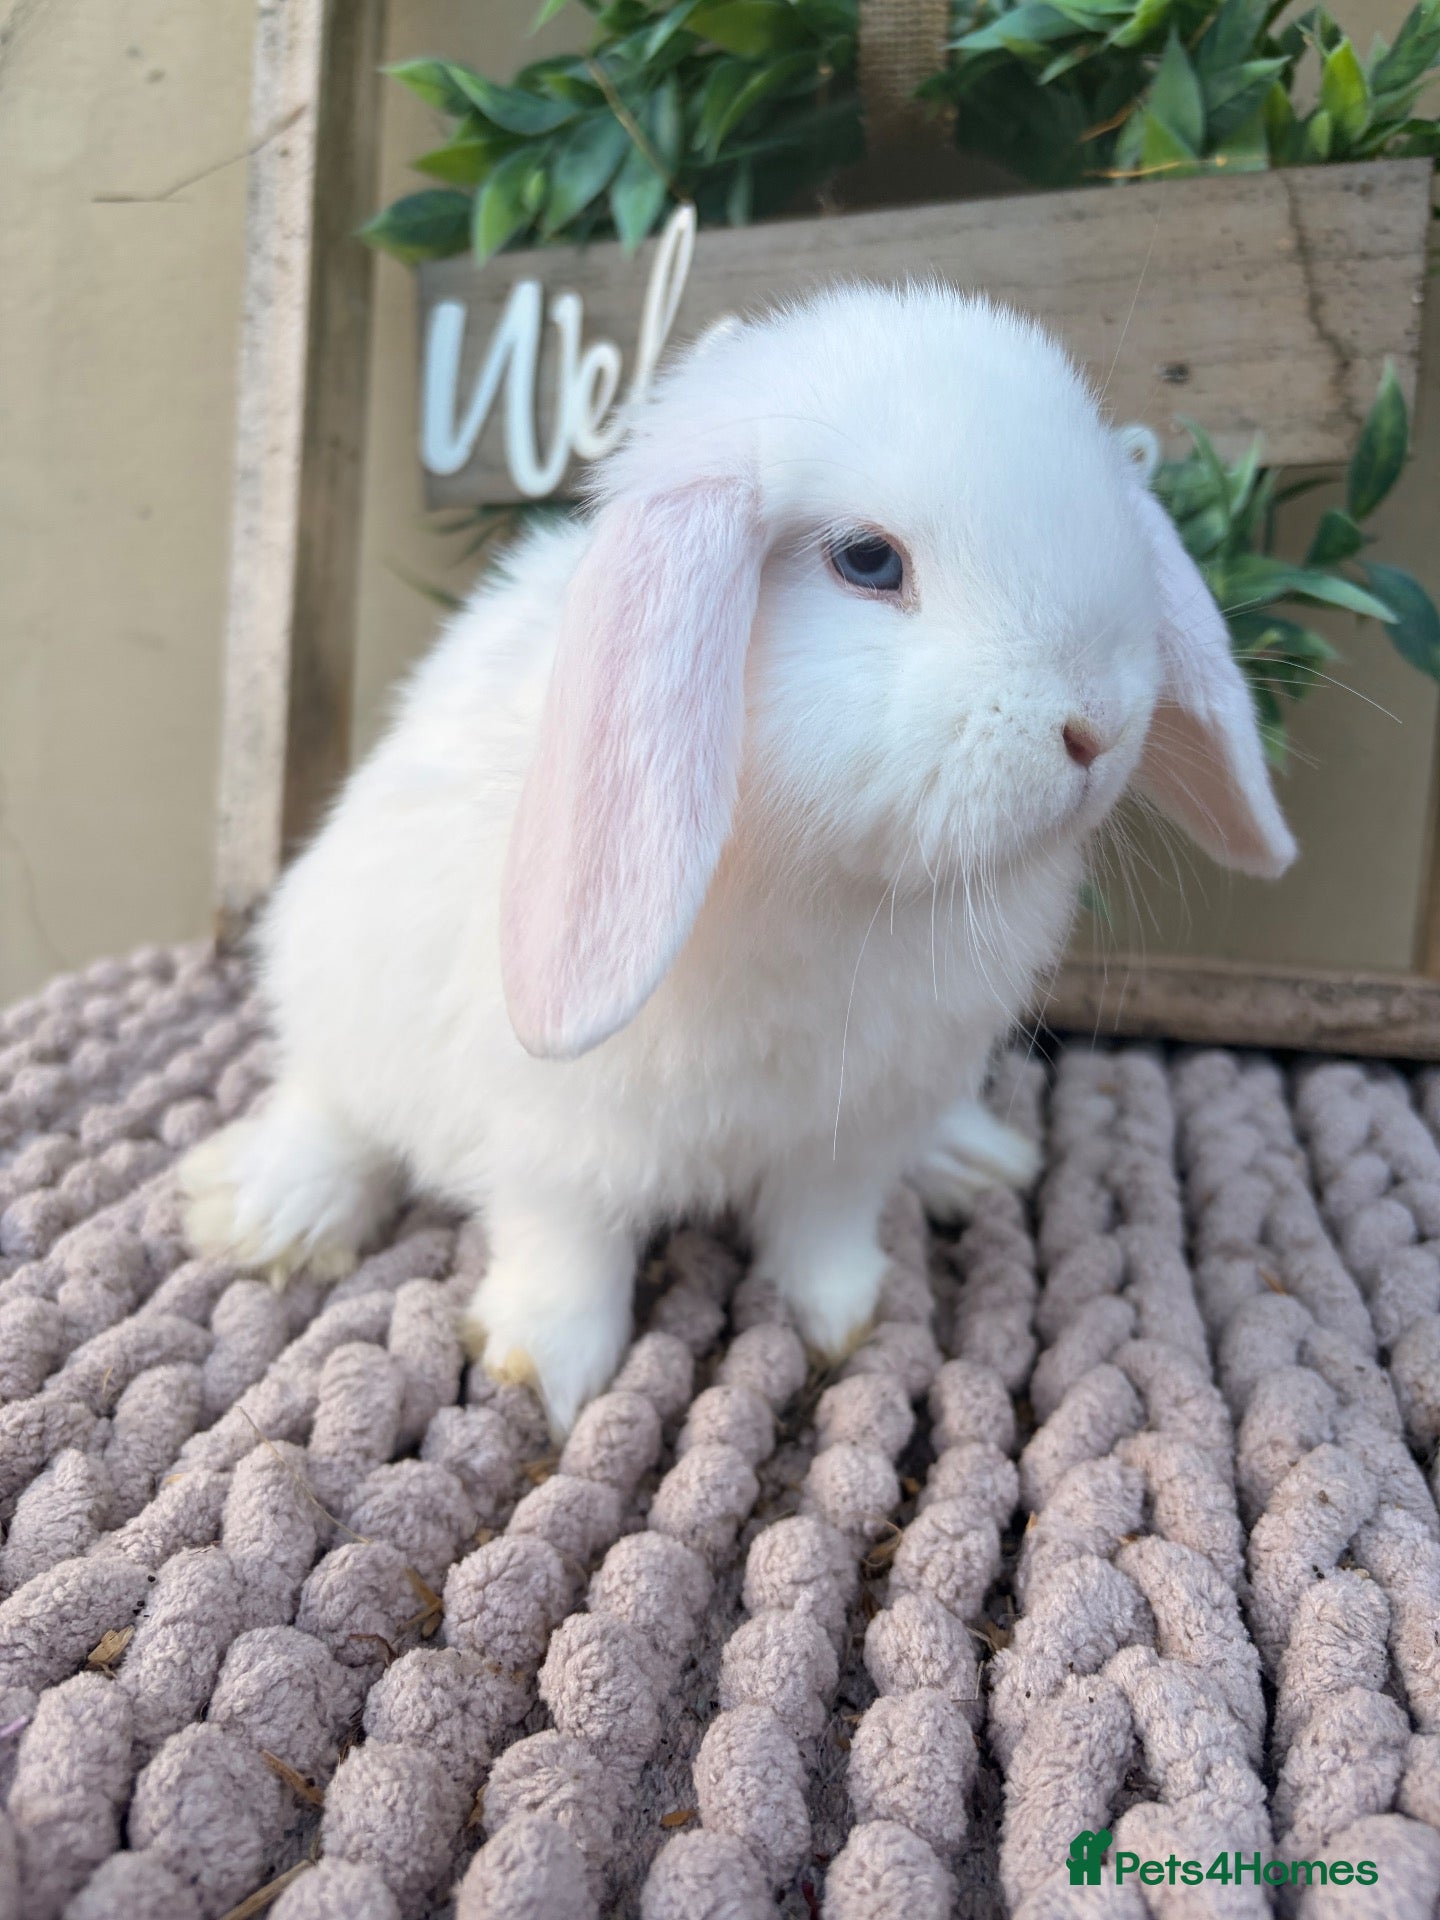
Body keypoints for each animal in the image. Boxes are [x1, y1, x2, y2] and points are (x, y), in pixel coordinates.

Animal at [182, 283, 1295, 1434]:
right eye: (867, 560)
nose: (1097, 729)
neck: (835, 884)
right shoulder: (559, 1134)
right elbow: (564, 1242)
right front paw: (546, 1373)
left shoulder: (856, 1127)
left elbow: (825, 1229)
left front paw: (848, 1320)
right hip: (343, 980)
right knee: (329, 1104)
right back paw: (269, 1213)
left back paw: (973, 1158)